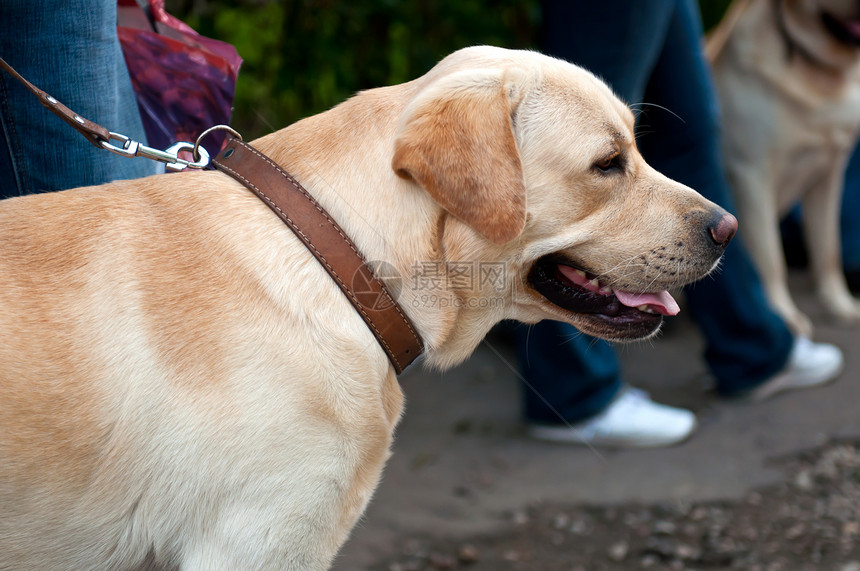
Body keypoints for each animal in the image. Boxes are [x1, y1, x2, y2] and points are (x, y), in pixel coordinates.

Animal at [708, 0, 860, 336]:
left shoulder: (830, 172)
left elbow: (828, 249)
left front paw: (839, 302)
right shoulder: (752, 175)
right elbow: (770, 257)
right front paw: (782, 315)